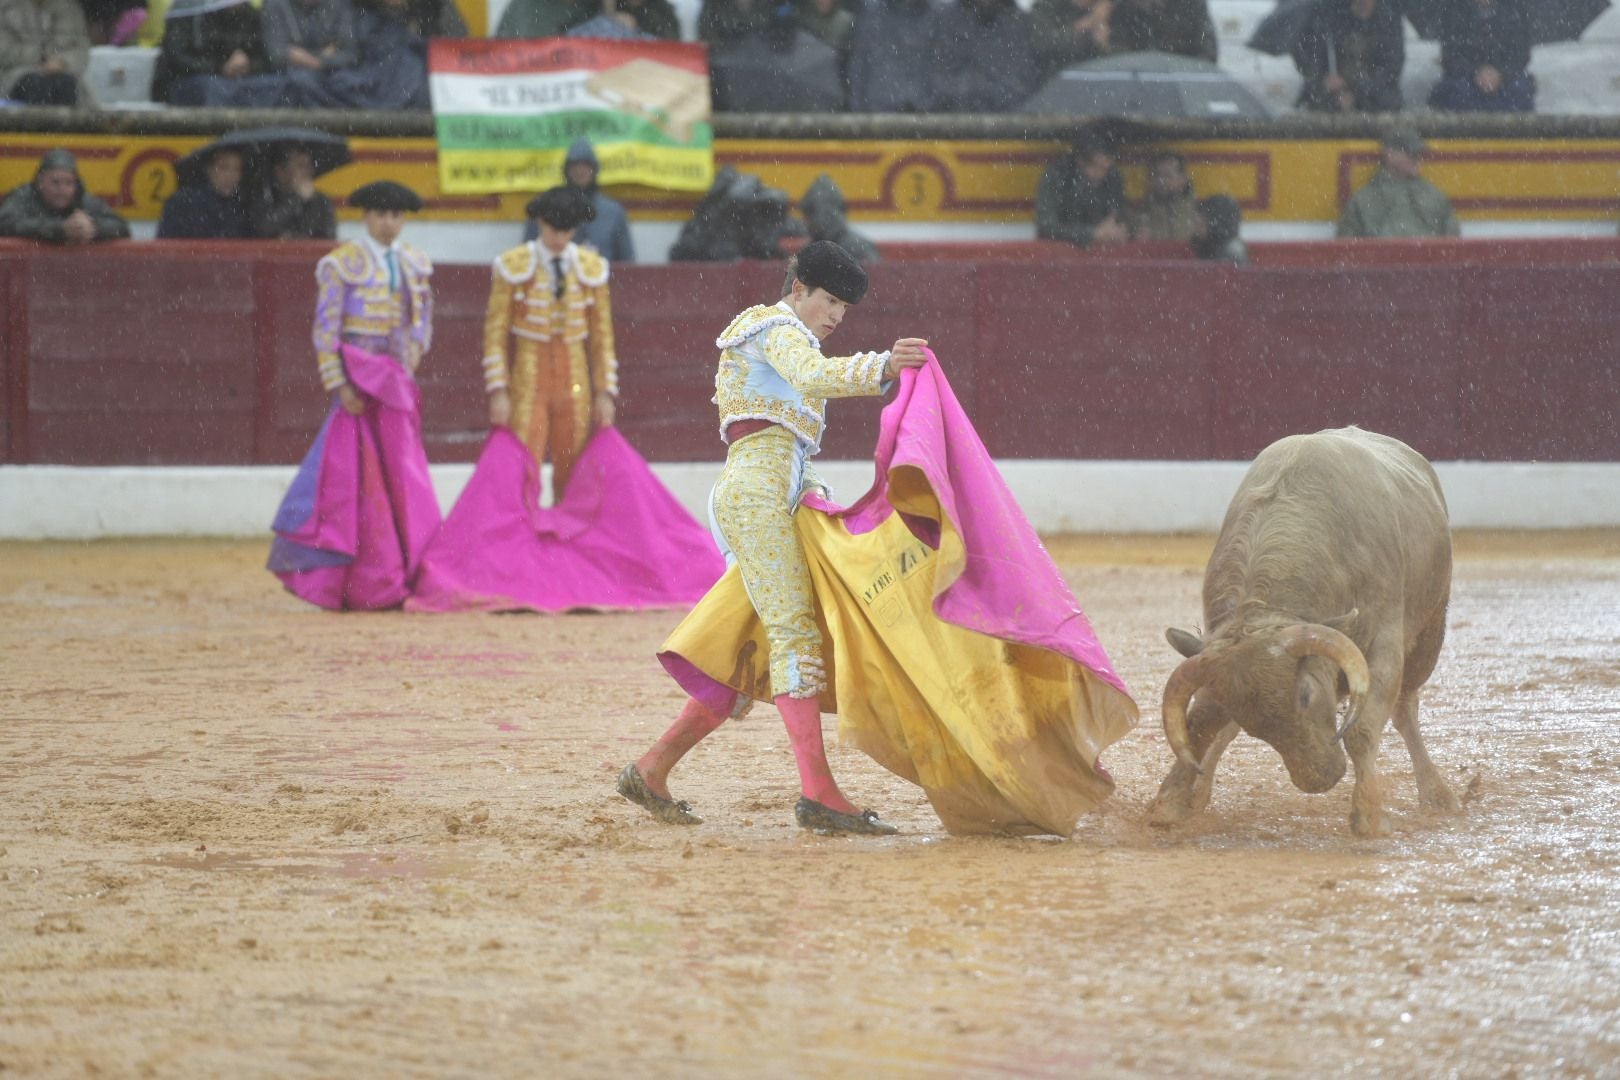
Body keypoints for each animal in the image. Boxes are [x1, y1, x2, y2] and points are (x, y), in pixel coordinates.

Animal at [1146, 427, 1464, 841]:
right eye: (1252, 721)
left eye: (1306, 694)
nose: (1320, 779)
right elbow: (1204, 724)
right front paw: (1172, 800)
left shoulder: (1384, 644)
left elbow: (1362, 730)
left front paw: (1369, 815)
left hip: (1430, 633)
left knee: (1406, 709)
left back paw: (1438, 793)